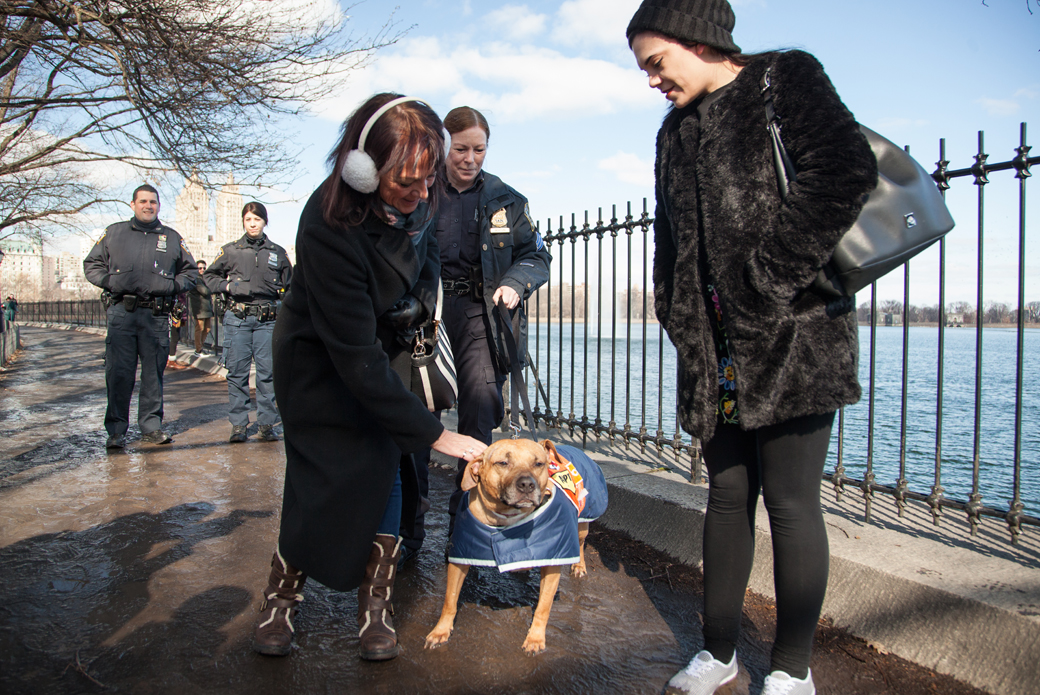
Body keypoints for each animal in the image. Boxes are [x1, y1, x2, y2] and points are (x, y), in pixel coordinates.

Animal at [420, 439, 586, 657]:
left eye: (538, 464)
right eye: (503, 463)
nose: (527, 484)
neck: (507, 517)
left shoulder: (553, 564)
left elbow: (543, 606)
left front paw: (535, 638)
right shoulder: (460, 557)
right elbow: (450, 599)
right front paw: (441, 631)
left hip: (583, 524)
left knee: (581, 543)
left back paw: (580, 566)